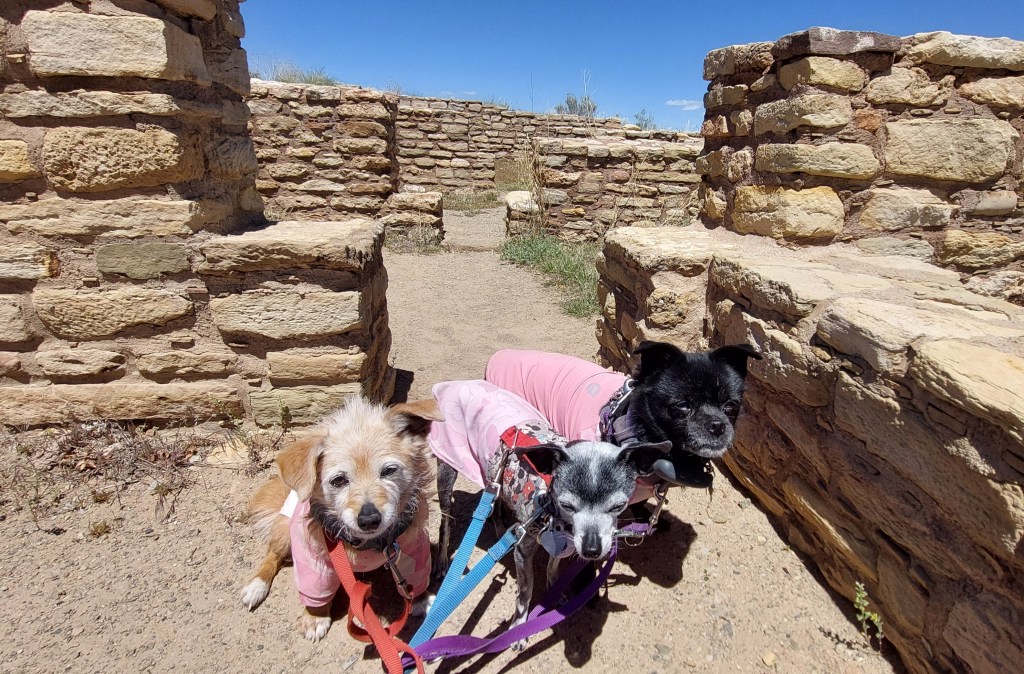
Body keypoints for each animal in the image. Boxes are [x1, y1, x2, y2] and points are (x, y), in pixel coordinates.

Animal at [239, 396, 442, 642]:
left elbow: (415, 578)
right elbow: (316, 592)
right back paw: (257, 585)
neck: (370, 543)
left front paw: (421, 600)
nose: (369, 519)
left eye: (389, 470)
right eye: (338, 480)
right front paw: (315, 617)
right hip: (284, 531)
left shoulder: (413, 549)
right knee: (272, 554)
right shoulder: (313, 561)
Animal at [426, 380, 666, 649]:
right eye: (567, 505)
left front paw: (554, 592)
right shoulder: (524, 551)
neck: (555, 515)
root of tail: (451, 384)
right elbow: (525, 591)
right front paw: (518, 627)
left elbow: (553, 567)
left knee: (495, 501)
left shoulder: (562, 544)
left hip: (493, 475)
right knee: (445, 521)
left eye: (618, 506)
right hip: (447, 469)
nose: (592, 550)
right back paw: (442, 560)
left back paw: (499, 528)